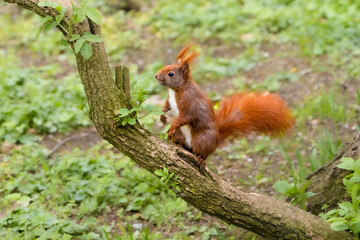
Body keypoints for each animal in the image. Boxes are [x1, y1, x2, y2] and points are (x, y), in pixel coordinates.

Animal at [155, 45, 296, 169]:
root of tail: (217, 139)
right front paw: (163, 114)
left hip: (203, 139)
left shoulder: (190, 103)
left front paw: (172, 125)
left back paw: (201, 159)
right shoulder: (171, 99)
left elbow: (185, 117)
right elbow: (168, 105)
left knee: (203, 152)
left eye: (171, 74)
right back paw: (176, 143)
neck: (176, 90)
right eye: (165, 66)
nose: (156, 76)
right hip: (181, 134)